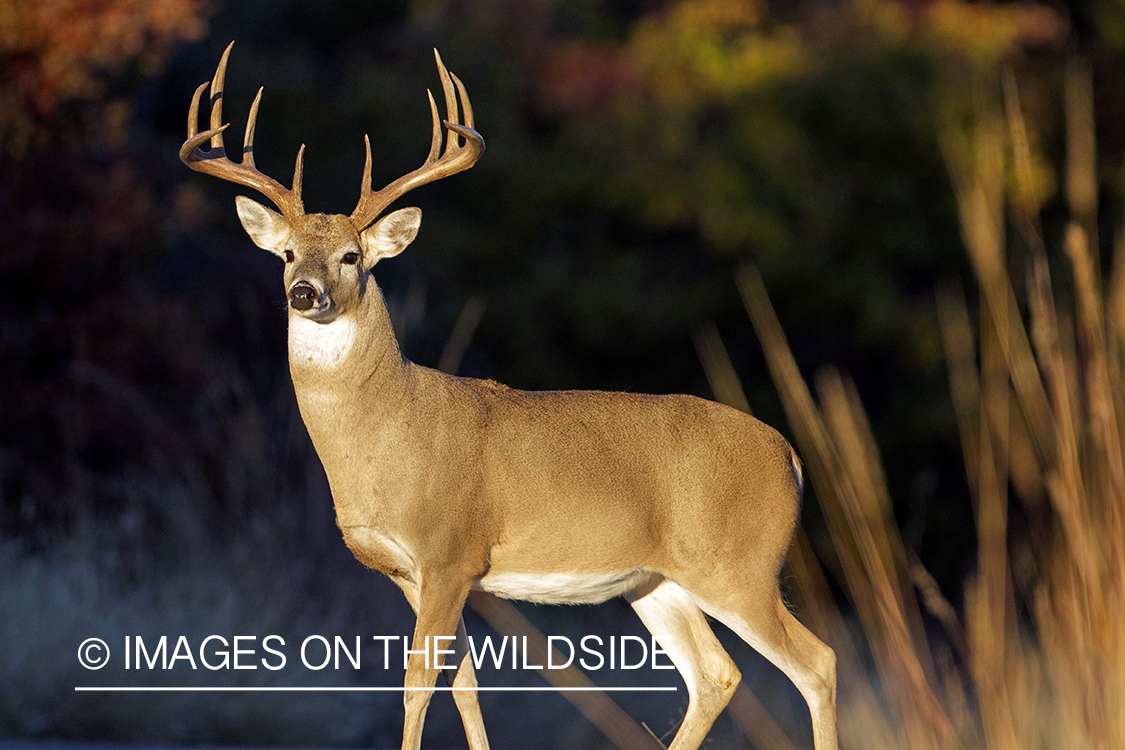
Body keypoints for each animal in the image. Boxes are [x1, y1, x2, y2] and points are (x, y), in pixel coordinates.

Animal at [180, 44, 841, 750]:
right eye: (285, 252)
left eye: (353, 256)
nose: (304, 291)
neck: (386, 432)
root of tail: (790, 457)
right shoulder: (415, 574)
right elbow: (463, 684)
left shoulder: (449, 551)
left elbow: (418, 684)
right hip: (657, 581)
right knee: (716, 674)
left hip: (739, 565)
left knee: (817, 662)